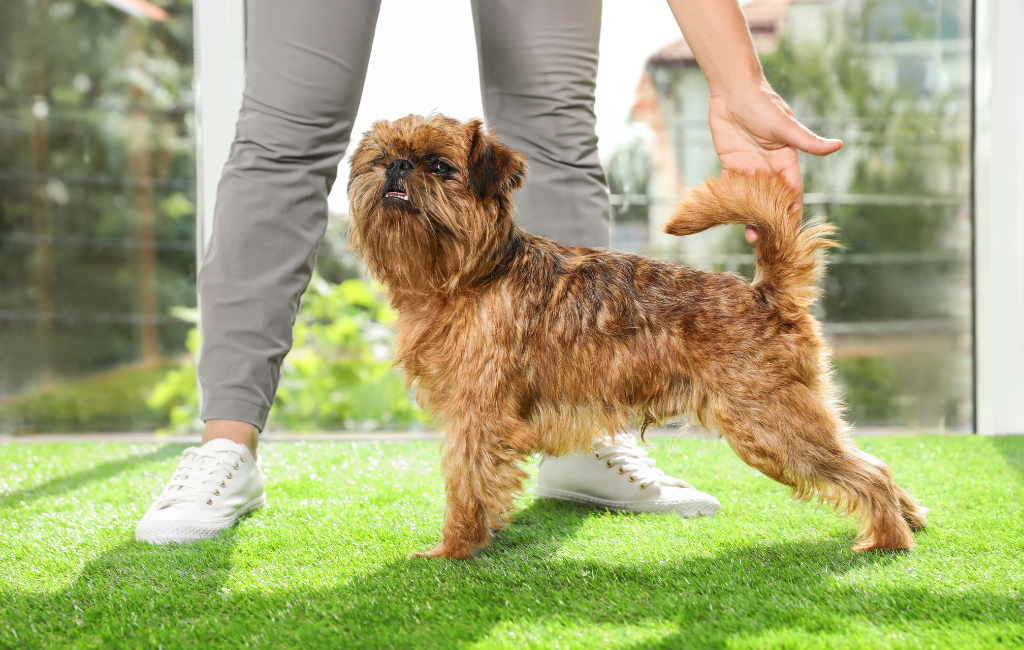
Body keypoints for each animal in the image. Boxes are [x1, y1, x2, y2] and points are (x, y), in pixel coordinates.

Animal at [346, 113, 929, 560]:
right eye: (381, 158)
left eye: (440, 167)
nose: (398, 166)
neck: (469, 274)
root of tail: (766, 293)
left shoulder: (475, 417)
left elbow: (465, 487)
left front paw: (454, 550)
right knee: (869, 459)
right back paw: (911, 519)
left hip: (769, 423)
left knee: (867, 471)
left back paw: (888, 539)